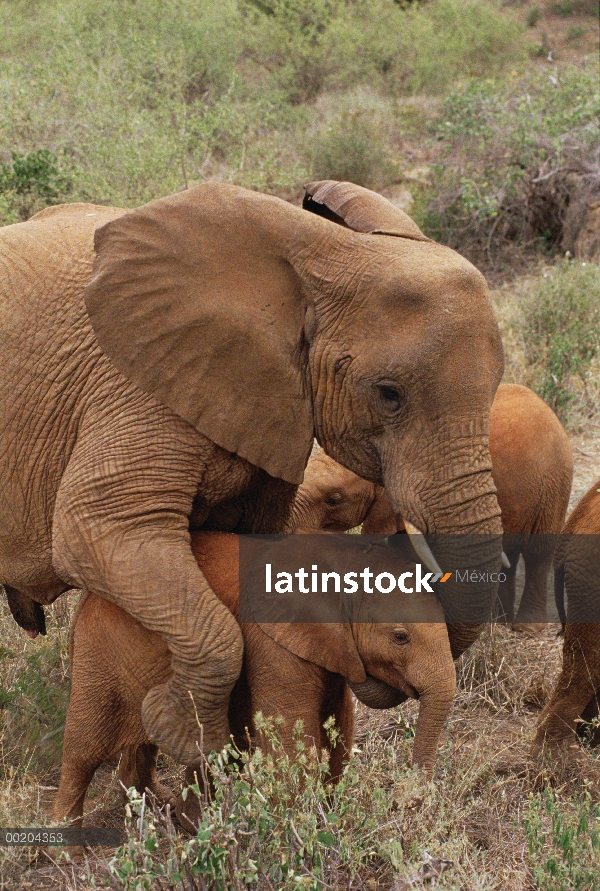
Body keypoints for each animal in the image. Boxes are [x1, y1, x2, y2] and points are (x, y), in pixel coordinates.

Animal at [54, 528, 454, 828]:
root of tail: (86, 599)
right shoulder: (272, 640)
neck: (342, 561)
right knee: (83, 749)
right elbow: (293, 744)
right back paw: (69, 852)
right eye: (400, 637)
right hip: (99, 655)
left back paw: (171, 816)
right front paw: (304, 829)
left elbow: (339, 731)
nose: (403, 802)